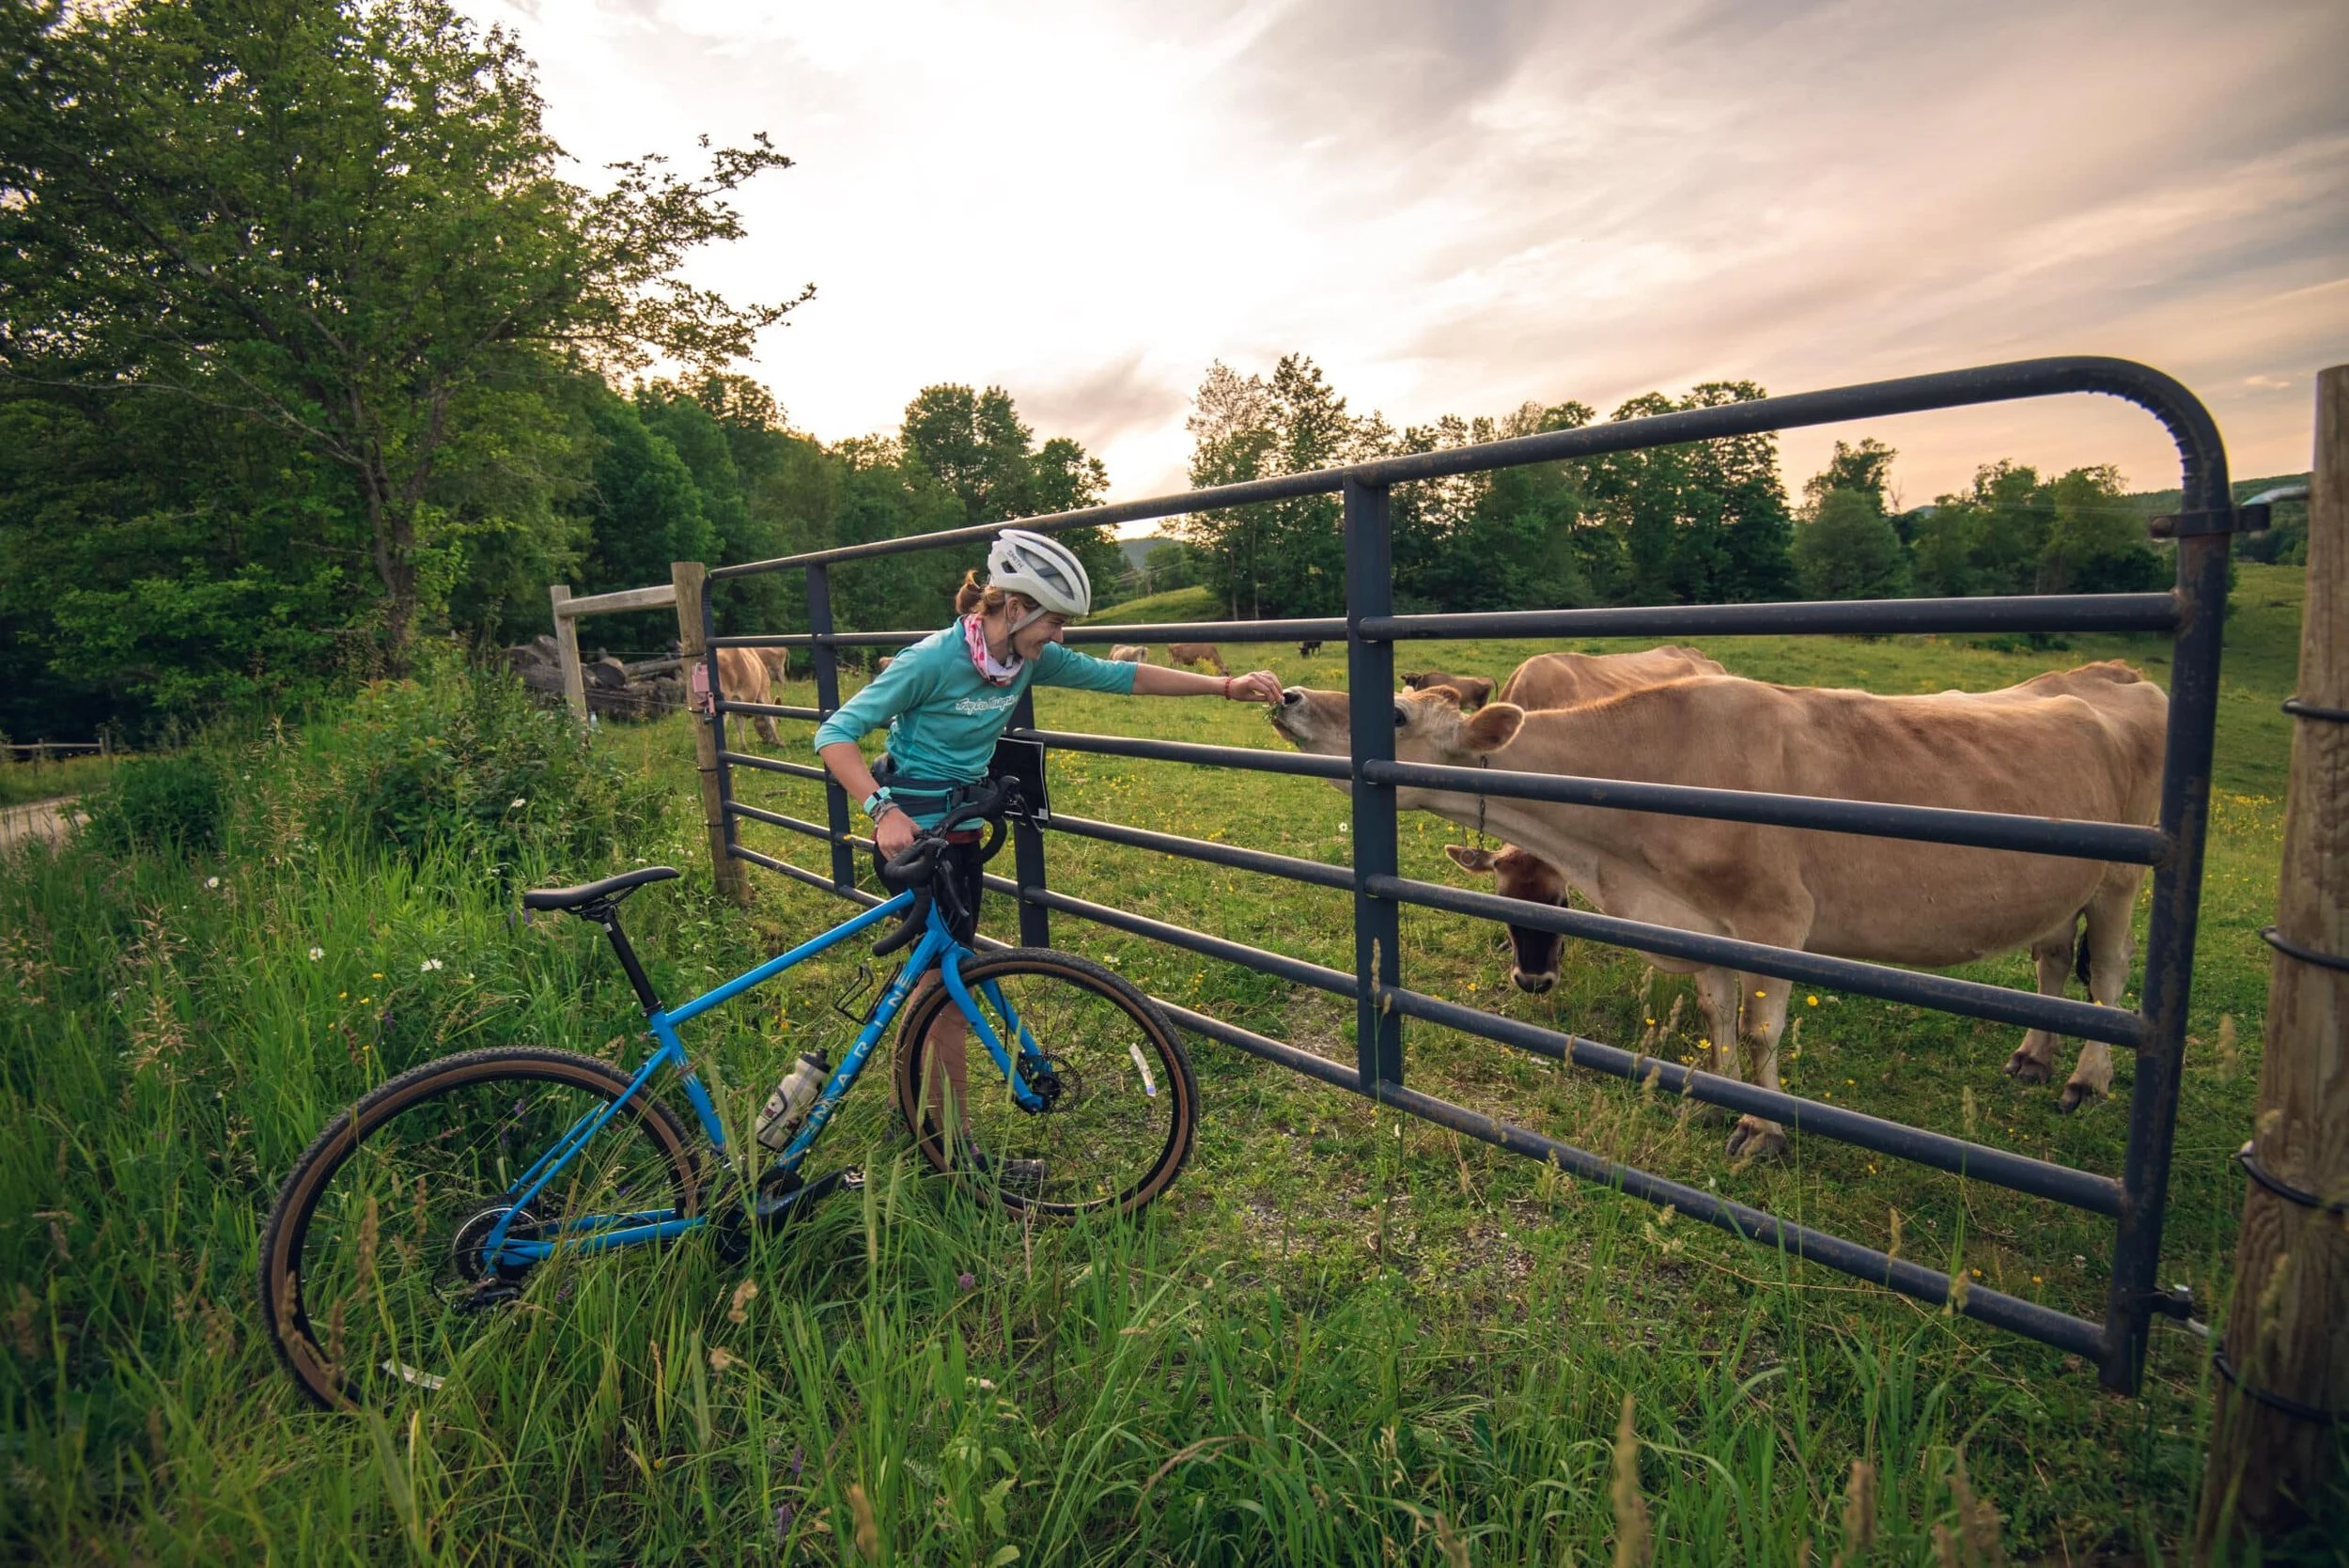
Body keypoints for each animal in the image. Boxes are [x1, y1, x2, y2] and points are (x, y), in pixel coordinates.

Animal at [1268, 662, 2167, 1158]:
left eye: (1396, 711)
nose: (1288, 694)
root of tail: (2117, 677)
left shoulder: (1775, 918)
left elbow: (1763, 1028)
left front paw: (1763, 1130)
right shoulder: (1704, 926)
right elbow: (1718, 1015)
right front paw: (1721, 1097)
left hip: (2123, 881)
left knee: (2111, 973)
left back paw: (2086, 1079)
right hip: (2063, 888)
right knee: (2054, 958)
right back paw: (2034, 1056)